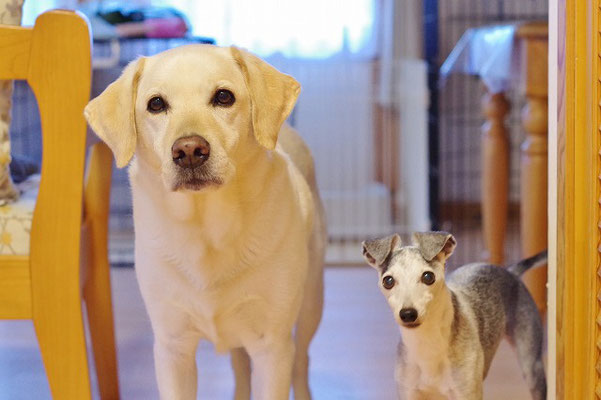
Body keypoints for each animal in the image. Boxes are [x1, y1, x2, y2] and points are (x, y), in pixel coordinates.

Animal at [364, 231, 548, 400]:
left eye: (428, 276)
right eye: (388, 281)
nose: (408, 314)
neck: (427, 344)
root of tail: (510, 272)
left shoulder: (467, 393)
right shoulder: (409, 393)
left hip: (532, 365)